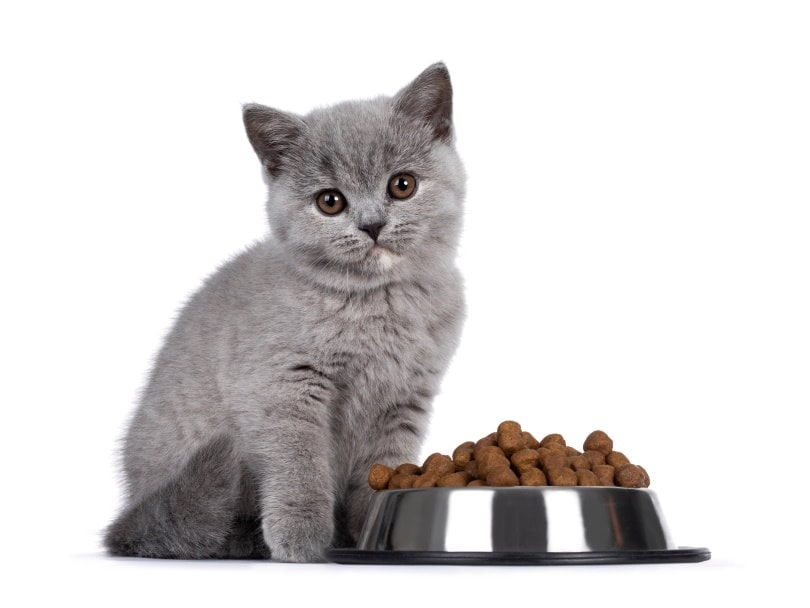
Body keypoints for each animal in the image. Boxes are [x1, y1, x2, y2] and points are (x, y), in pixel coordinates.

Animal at [104, 64, 464, 564]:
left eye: (402, 185)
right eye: (330, 201)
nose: (372, 225)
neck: (377, 302)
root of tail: (133, 507)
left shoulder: (405, 398)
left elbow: (383, 470)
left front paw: (371, 533)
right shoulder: (283, 385)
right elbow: (299, 462)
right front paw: (303, 536)